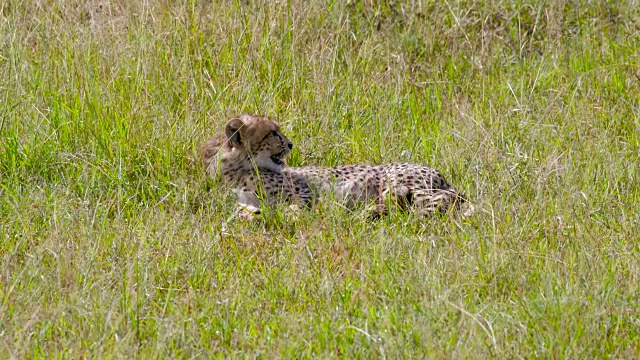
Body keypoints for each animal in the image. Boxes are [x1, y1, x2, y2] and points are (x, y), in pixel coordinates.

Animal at [201, 114, 470, 219]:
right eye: (273, 133)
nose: (291, 144)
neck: (239, 169)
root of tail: (441, 174)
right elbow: (240, 211)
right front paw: (252, 216)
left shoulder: (308, 193)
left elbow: (295, 207)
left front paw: (286, 214)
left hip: (400, 183)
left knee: (443, 200)